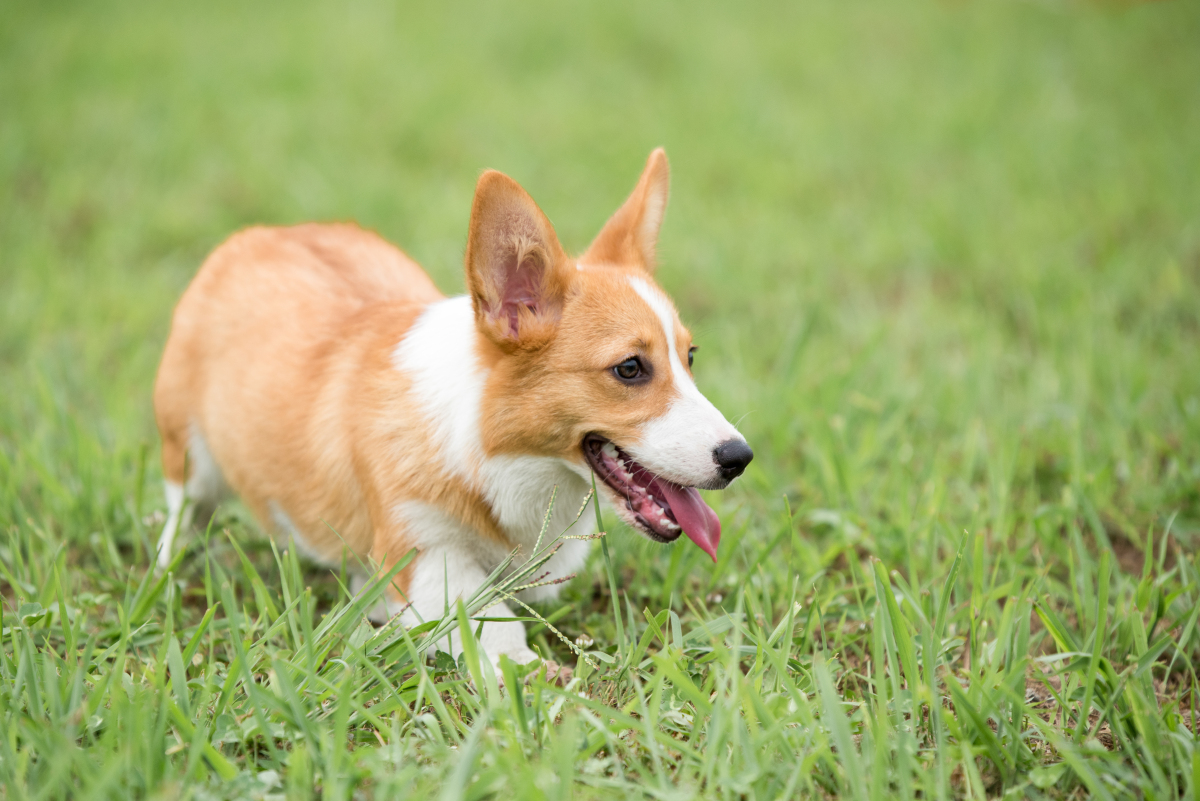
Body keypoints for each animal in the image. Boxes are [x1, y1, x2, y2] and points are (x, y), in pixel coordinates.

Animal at [150, 148, 748, 671]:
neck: (495, 446)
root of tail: (263, 233)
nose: (739, 458)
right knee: (183, 510)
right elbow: (489, 620)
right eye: (629, 369)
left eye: (690, 357)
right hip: (189, 453)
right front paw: (527, 673)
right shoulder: (424, 551)